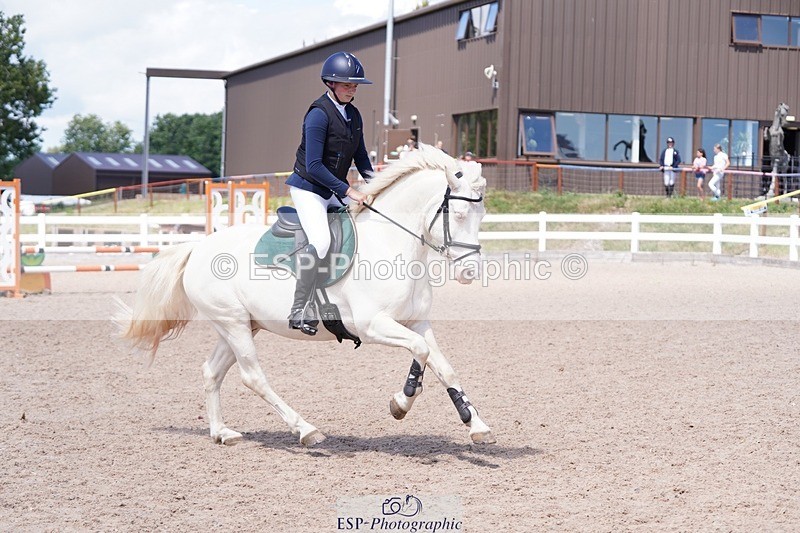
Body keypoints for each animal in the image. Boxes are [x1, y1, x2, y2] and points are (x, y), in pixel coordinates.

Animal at [119, 144, 496, 447]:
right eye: (459, 214)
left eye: (482, 215)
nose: (469, 272)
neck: (390, 244)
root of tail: (198, 247)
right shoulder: (372, 325)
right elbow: (420, 352)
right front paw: (401, 402)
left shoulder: (417, 322)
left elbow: (443, 366)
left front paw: (475, 424)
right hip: (233, 324)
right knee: (253, 377)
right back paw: (306, 430)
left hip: (240, 325)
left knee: (212, 372)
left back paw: (222, 433)